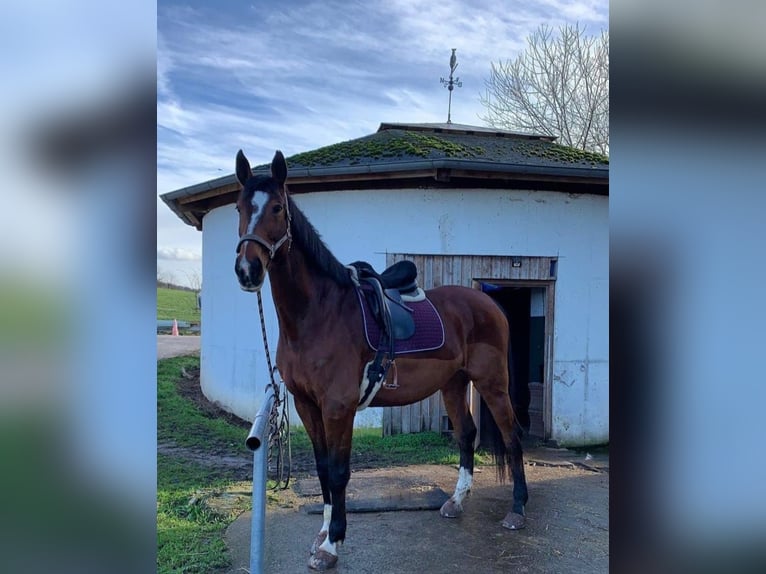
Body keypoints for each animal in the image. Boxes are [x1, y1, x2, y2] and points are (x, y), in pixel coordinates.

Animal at [236, 148, 528, 572]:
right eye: (240, 208)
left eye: (277, 207)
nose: (248, 270)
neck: (317, 314)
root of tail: (489, 303)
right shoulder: (307, 405)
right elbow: (322, 469)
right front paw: (322, 534)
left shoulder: (338, 408)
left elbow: (339, 472)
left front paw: (332, 544)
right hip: (453, 384)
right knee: (466, 434)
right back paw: (455, 502)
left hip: (492, 384)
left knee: (511, 435)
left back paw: (518, 510)